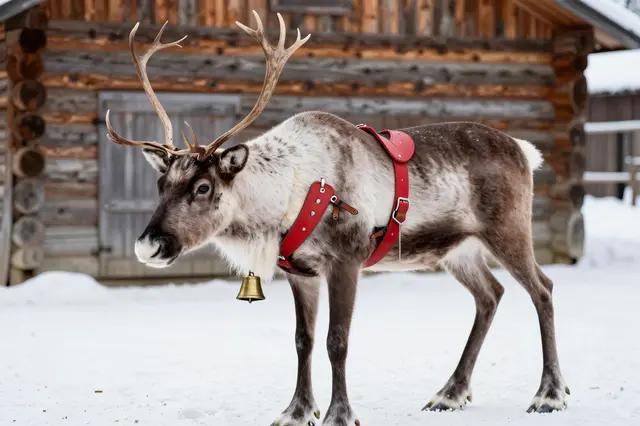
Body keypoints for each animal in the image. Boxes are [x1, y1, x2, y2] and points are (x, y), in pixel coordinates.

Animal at [104, 11, 570, 426]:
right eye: (161, 183)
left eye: (203, 187)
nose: (148, 245)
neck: (283, 198)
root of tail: (524, 150)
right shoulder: (300, 271)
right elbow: (303, 340)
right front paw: (295, 411)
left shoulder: (346, 261)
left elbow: (337, 340)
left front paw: (339, 414)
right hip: (457, 250)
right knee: (490, 295)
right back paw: (450, 393)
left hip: (508, 230)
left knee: (543, 289)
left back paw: (549, 394)